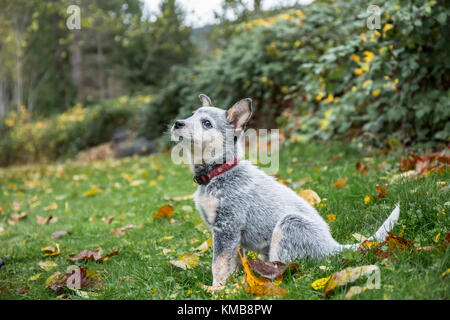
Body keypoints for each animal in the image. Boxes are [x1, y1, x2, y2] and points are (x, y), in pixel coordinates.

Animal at [171, 94, 400, 288]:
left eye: (207, 123)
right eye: (191, 114)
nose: (177, 123)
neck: (218, 172)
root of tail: (333, 245)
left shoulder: (227, 226)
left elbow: (218, 263)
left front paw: (216, 289)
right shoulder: (229, 234)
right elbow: (232, 262)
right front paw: (234, 283)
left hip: (288, 225)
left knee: (288, 268)